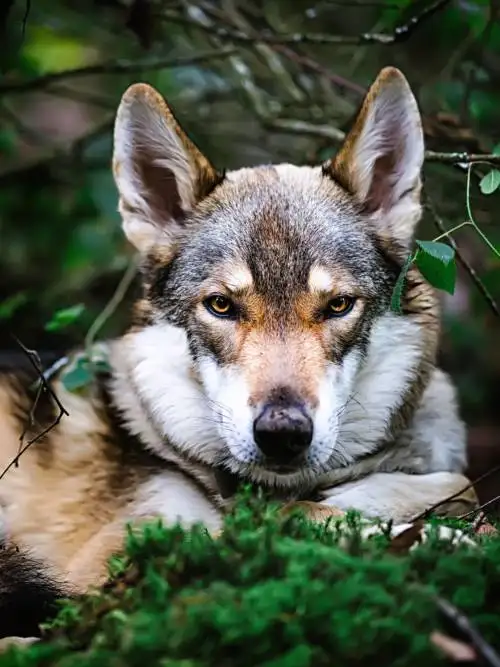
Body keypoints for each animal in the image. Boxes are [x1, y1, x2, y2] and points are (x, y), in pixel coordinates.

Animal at [0, 66, 477, 638]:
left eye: (338, 305)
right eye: (222, 306)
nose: (282, 433)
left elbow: (448, 484)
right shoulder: (120, 556)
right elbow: (296, 519)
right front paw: (435, 536)